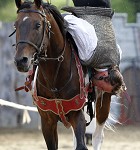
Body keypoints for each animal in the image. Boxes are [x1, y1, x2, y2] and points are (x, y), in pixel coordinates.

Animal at [12, 0, 112, 150]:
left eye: (38, 25)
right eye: (16, 25)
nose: (21, 60)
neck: (54, 78)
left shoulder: (77, 114)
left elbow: (82, 144)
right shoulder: (47, 121)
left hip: (104, 100)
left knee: (97, 136)